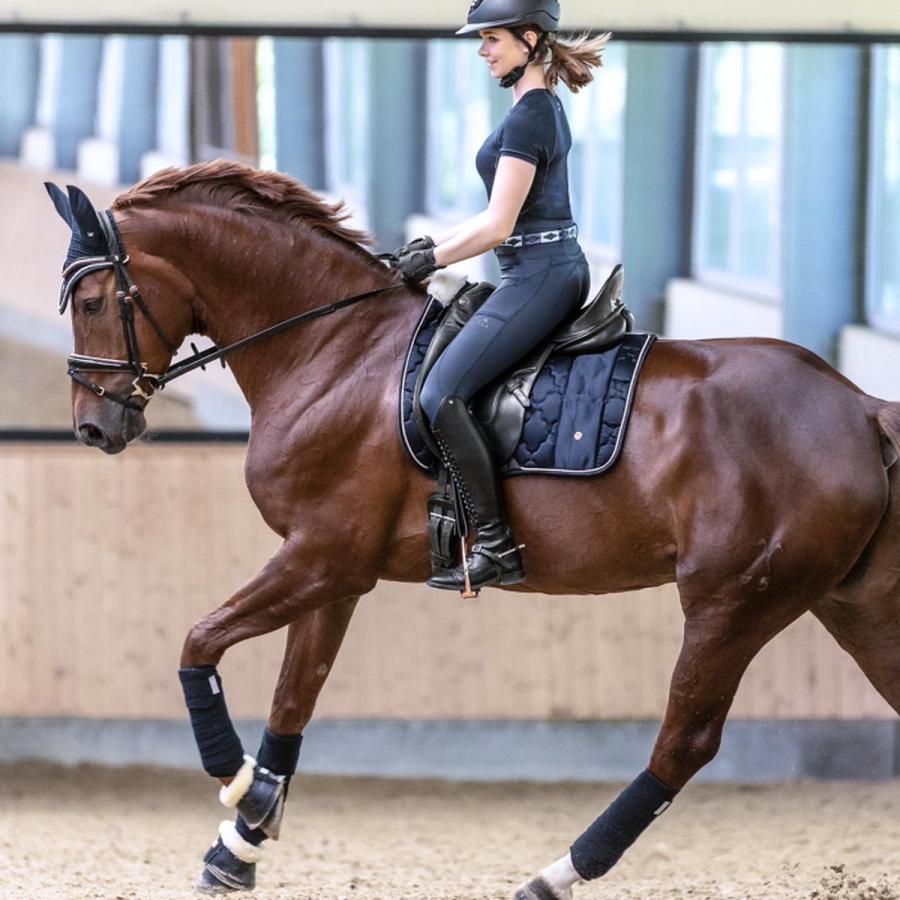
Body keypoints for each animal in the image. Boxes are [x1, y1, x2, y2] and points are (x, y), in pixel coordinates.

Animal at [46, 159, 900, 897]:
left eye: (91, 303)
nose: (93, 427)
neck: (332, 350)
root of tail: (859, 406)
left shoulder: (321, 556)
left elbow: (199, 644)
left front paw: (238, 785)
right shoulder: (334, 572)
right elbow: (294, 700)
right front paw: (242, 844)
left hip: (733, 604)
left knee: (683, 741)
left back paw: (556, 875)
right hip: (851, 606)